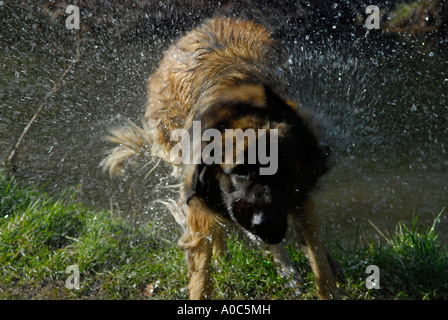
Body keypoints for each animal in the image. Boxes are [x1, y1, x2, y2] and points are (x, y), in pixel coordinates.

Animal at [102, 16, 346, 300]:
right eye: (239, 170)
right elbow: (201, 272)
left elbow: (317, 258)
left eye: (284, 171)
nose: (266, 224)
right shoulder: (200, 194)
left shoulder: (296, 192)